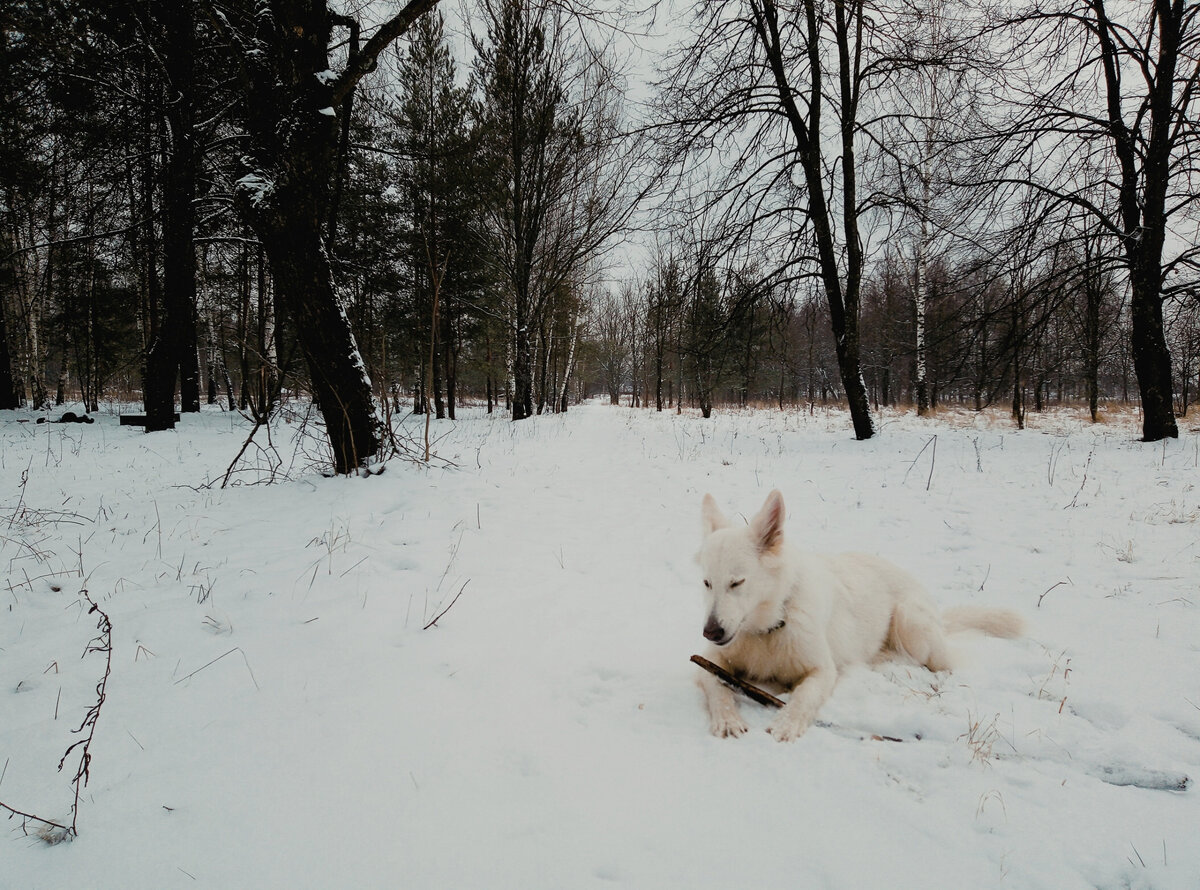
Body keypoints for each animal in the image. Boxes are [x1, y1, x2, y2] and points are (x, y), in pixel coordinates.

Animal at [696, 491, 1022, 743]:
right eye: (707, 583)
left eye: (737, 583)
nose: (710, 632)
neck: (768, 627)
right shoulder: (711, 661)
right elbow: (717, 686)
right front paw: (727, 718)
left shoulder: (822, 671)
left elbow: (804, 696)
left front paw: (786, 723)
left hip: (910, 621)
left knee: (935, 661)